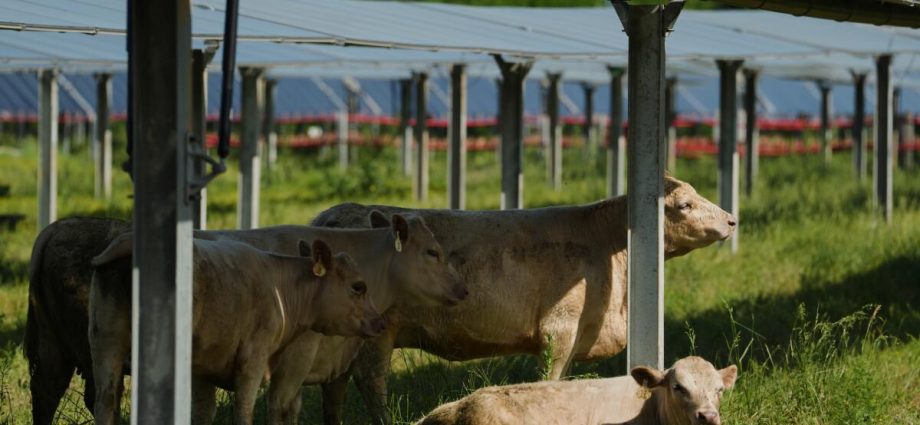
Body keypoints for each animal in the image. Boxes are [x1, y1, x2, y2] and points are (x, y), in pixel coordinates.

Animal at [89, 234, 385, 425]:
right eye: (358, 287)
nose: (379, 322)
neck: (280, 289)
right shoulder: (253, 361)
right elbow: (251, 411)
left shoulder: (202, 371)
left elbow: (203, 413)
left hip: (105, 345)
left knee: (105, 401)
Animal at [312, 175, 736, 424]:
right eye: (685, 204)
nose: (732, 220)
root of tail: (330, 216)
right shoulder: (559, 329)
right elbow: (551, 377)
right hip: (377, 333)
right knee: (371, 381)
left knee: (335, 385)